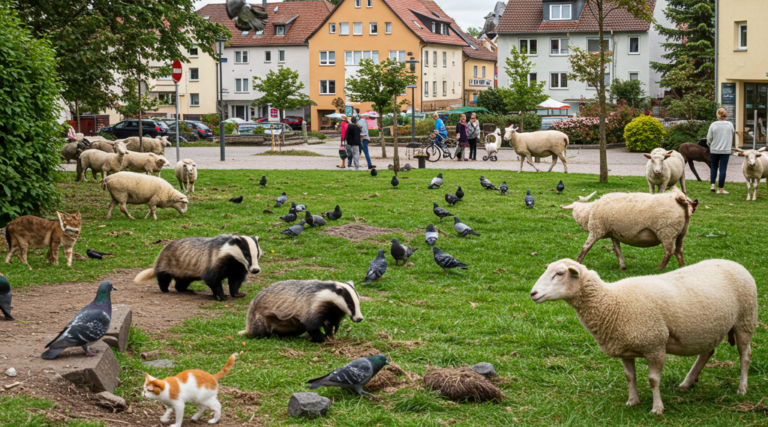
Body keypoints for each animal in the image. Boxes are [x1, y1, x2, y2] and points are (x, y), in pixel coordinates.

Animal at [532, 260, 760, 416]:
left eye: (560, 273)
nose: (533, 293)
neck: (612, 302)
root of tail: (735, 263)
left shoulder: (655, 346)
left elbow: (653, 379)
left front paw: (657, 408)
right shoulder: (624, 349)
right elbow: (629, 377)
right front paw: (632, 401)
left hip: (745, 321)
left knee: (745, 356)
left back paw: (742, 388)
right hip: (707, 330)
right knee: (707, 352)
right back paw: (687, 383)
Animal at [560, 188, 700, 270]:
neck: (589, 212)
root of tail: (681, 200)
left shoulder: (596, 230)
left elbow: (585, 248)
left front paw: (576, 263)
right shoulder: (614, 234)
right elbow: (617, 250)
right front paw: (622, 266)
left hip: (666, 231)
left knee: (669, 252)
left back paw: (658, 269)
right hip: (682, 232)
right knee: (679, 251)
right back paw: (682, 267)